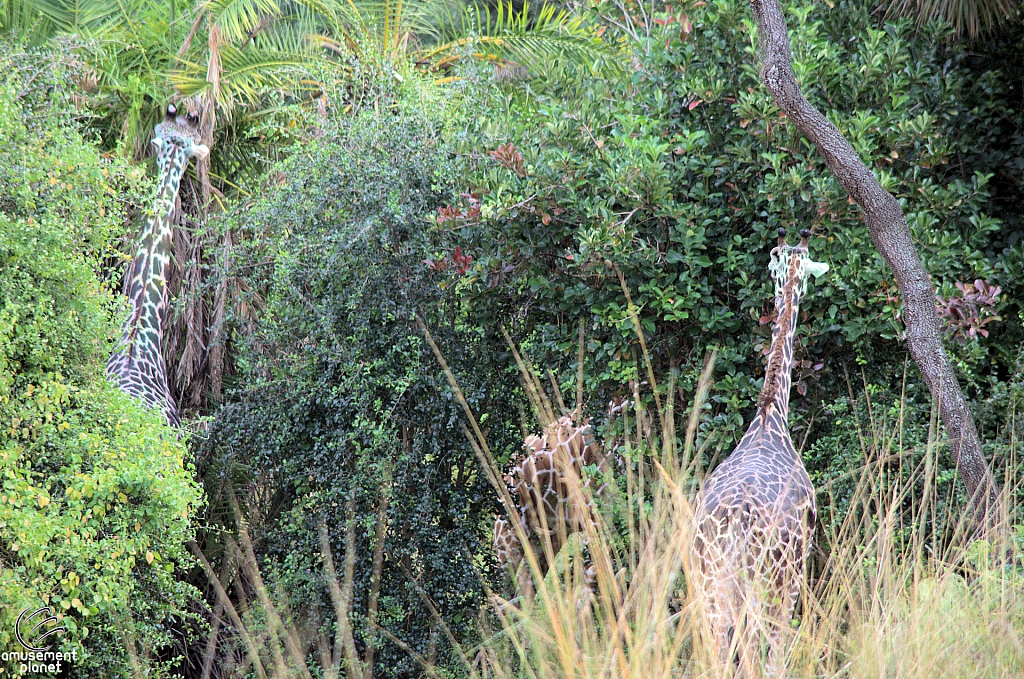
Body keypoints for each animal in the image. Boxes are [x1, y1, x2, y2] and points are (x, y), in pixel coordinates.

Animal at [692, 227, 827, 675]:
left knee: (716, 654)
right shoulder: (797, 571)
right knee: (757, 654)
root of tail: (735, 520)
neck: (771, 414)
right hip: (765, 582)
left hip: (707, 584)